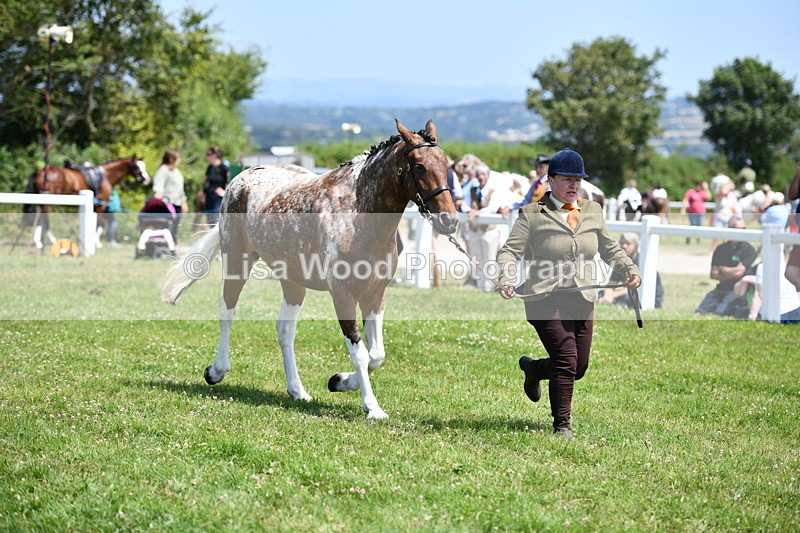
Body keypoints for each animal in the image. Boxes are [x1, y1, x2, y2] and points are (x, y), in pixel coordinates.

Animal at [161, 120, 459, 420]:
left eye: (446, 164)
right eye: (418, 166)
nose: (450, 220)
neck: (359, 215)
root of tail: (241, 178)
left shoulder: (375, 295)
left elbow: (377, 355)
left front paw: (340, 381)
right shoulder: (343, 295)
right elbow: (361, 353)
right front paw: (372, 407)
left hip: (293, 282)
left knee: (285, 331)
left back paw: (297, 390)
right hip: (237, 262)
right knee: (227, 312)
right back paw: (216, 371)